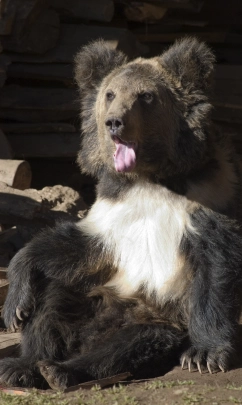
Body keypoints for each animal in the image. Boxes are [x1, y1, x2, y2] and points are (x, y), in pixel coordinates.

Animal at [0, 38, 242, 388]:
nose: (114, 122)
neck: (147, 177)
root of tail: (100, 329)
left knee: (128, 346)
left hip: (158, 320)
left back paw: (63, 370)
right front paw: (13, 305)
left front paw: (204, 355)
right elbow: (72, 245)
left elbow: (216, 265)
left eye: (146, 96)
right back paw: (24, 365)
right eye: (110, 94)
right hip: (93, 295)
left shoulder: (205, 195)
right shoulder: (114, 207)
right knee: (51, 305)